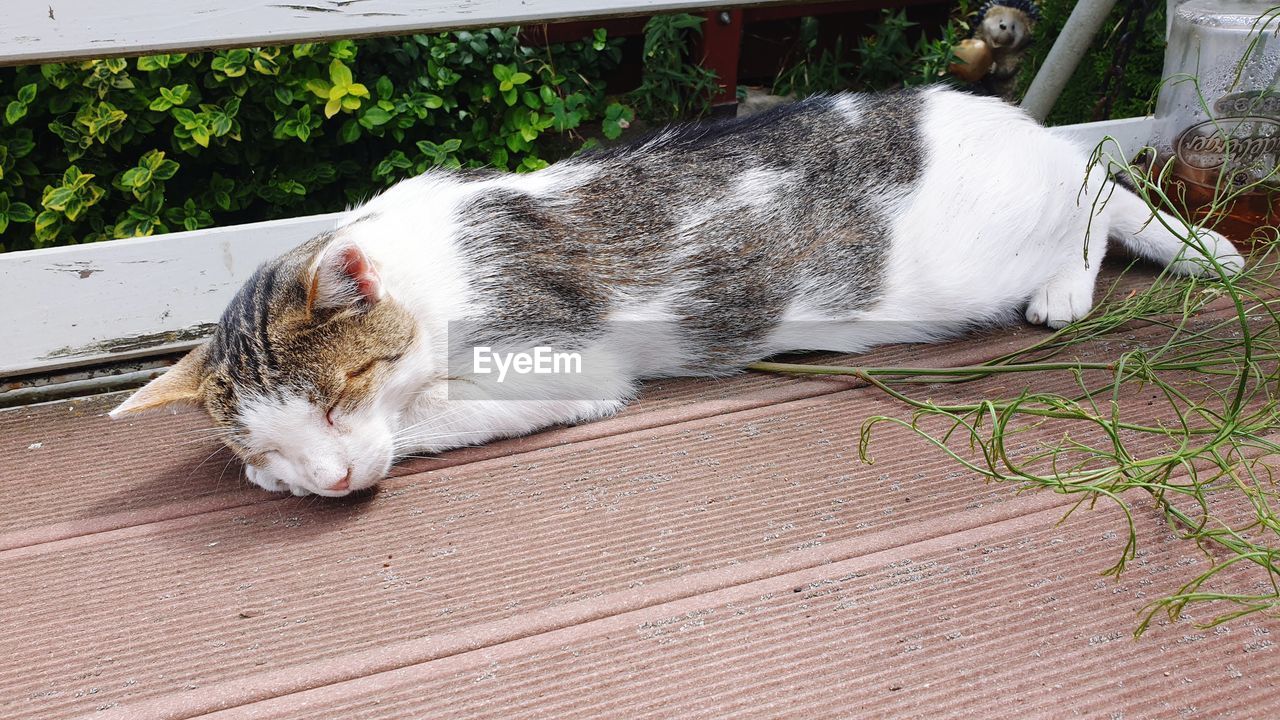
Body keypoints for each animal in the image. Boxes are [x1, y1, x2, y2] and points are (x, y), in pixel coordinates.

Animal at [104, 87, 1244, 491]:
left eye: (341, 397)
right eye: (262, 434)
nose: (329, 478)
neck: (430, 275)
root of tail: (1019, 125)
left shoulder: (566, 367)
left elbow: (431, 418)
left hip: (1009, 234)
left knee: (1102, 185)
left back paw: (1084, 281)